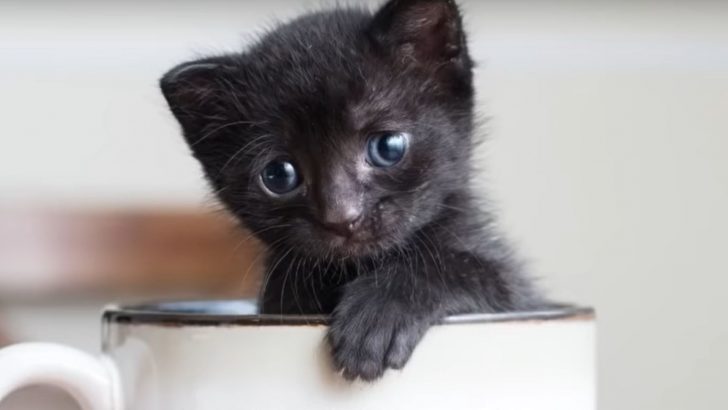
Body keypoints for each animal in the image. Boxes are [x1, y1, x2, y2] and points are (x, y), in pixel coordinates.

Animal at [162, 0, 544, 382]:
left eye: (388, 147)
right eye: (278, 175)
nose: (342, 217)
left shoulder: (518, 294)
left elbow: (465, 267)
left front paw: (382, 312)